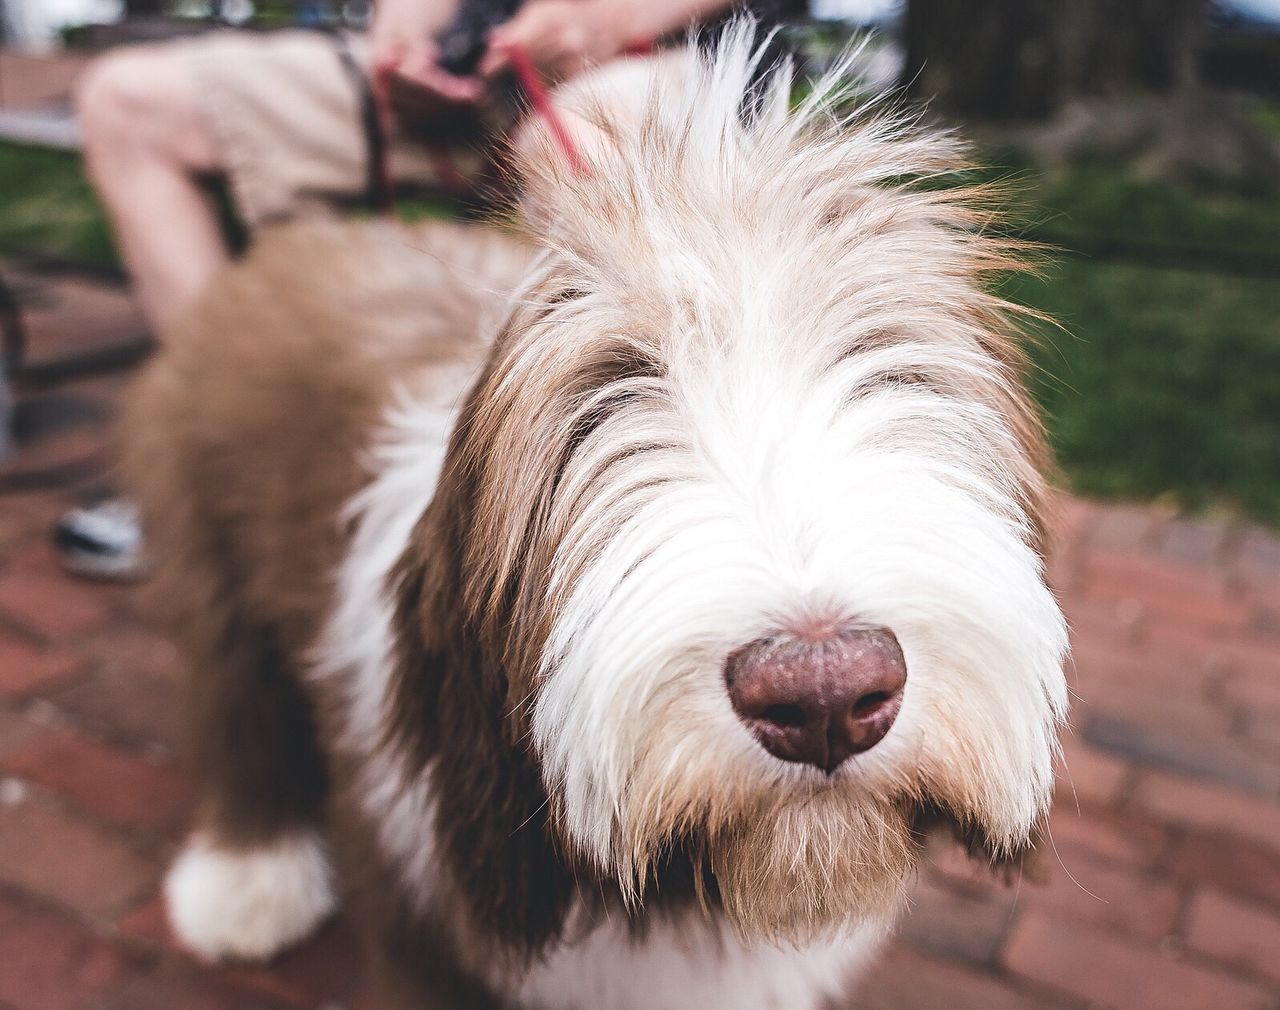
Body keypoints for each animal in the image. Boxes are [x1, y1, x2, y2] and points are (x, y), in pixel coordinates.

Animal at [127, 25, 1070, 1008]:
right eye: (607, 393)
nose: (824, 692)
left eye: (893, 367)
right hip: (210, 554)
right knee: (239, 712)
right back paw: (245, 889)